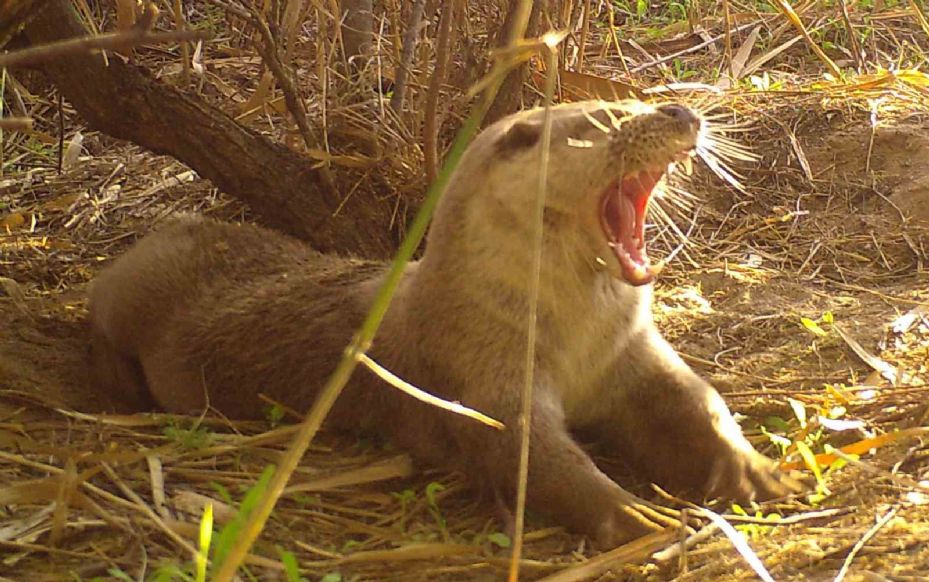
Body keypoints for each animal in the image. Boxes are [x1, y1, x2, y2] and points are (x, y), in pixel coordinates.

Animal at [89, 99, 796, 548]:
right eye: (605, 118)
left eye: (643, 95)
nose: (680, 112)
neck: (569, 336)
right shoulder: (481, 384)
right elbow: (534, 460)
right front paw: (638, 518)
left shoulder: (634, 356)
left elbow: (699, 401)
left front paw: (757, 470)